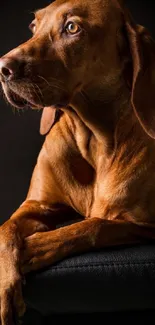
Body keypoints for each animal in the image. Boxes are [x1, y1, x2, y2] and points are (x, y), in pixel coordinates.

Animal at [0, 0, 155, 322]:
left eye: (72, 27)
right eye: (34, 26)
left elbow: (93, 226)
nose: (3, 68)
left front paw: (33, 248)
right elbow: (5, 229)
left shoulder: (143, 224)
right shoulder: (36, 205)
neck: (92, 137)